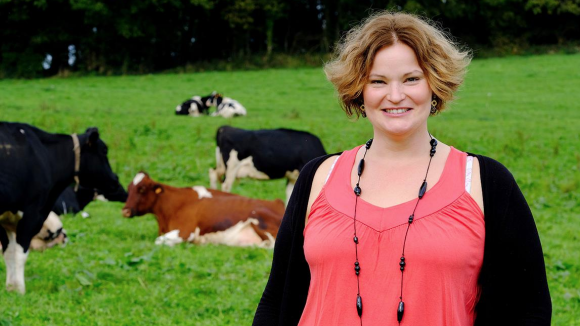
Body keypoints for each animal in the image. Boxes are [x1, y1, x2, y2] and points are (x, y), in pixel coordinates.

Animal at [0, 123, 126, 292]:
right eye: (104, 150)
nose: (116, 180)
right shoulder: (32, 213)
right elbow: (20, 253)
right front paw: (19, 289)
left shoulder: (7, 219)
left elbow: (9, 252)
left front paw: (10, 288)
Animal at [122, 172, 286, 246]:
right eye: (129, 188)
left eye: (142, 189)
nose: (125, 211)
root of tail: (278, 203)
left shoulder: (186, 231)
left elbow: (159, 241)